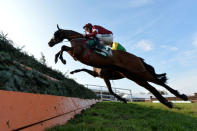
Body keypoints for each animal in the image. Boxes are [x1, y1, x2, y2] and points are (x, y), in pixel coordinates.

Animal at [48, 25, 189, 108]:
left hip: (139, 71)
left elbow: (63, 47)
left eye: (55, 34)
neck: (78, 40)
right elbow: (109, 90)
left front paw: (60, 59)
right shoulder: (99, 74)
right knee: (151, 87)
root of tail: (138, 58)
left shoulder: (78, 53)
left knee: (158, 82)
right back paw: (168, 103)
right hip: (134, 76)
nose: (49, 43)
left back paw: (181, 96)